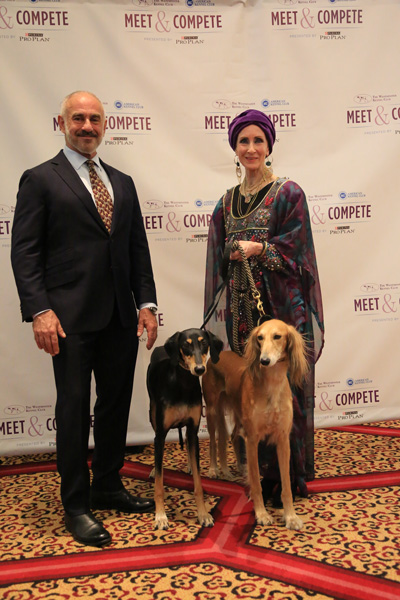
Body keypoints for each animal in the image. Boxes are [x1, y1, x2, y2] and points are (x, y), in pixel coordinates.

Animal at [147, 328, 223, 530]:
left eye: (204, 343)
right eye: (185, 345)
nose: (199, 369)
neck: (183, 382)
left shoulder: (193, 428)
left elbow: (198, 483)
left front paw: (203, 514)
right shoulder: (161, 434)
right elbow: (159, 484)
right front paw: (160, 516)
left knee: (189, 445)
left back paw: (189, 464)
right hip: (152, 414)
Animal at [202, 319, 309, 530]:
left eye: (277, 336)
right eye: (260, 337)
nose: (264, 361)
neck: (272, 385)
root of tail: (217, 356)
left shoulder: (283, 439)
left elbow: (285, 483)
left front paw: (290, 516)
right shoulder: (252, 439)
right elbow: (257, 483)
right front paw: (261, 513)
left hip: (237, 413)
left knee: (233, 436)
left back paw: (238, 467)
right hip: (211, 409)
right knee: (214, 439)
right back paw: (215, 469)